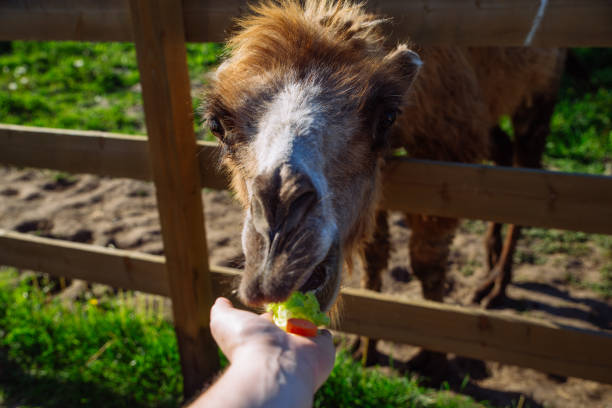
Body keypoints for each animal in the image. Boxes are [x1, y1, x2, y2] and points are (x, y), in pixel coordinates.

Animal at [203, 0, 568, 366]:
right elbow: (375, 252)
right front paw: (365, 348)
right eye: (216, 125)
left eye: (387, 117)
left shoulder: (449, 143)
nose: (277, 250)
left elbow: (426, 260)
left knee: (529, 175)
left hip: (540, 92)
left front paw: (432, 358)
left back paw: (495, 287)